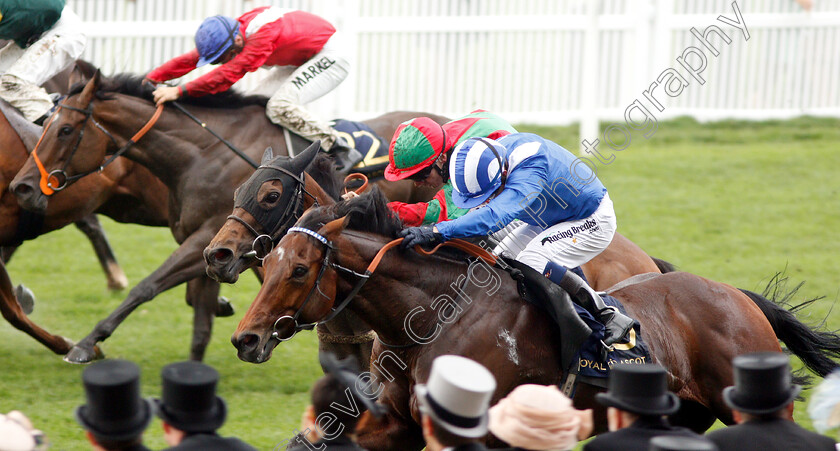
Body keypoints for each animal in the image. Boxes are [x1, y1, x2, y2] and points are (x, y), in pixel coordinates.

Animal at [8, 71, 446, 368]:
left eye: (65, 129)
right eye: (44, 123)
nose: (23, 186)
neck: (202, 152)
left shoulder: (205, 238)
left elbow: (147, 286)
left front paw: (85, 343)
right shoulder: (215, 246)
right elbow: (200, 313)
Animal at [231, 192, 840, 451]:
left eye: (300, 269)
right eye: (266, 265)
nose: (246, 338)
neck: (430, 322)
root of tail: (739, 297)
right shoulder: (396, 425)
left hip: (750, 410)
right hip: (680, 417)